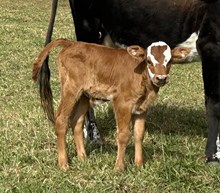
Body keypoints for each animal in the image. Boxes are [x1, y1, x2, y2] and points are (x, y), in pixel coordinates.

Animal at [32, 38, 173, 170]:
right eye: (148, 61)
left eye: (170, 61)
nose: (161, 78)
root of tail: (71, 43)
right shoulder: (122, 102)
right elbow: (123, 134)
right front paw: (119, 167)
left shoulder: (142, 107)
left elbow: (139, 134)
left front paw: (139, 165)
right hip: (70, 89)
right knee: (61, 119)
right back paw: (64, 164)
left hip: (83, 95)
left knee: (77, 122)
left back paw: (83, 158)